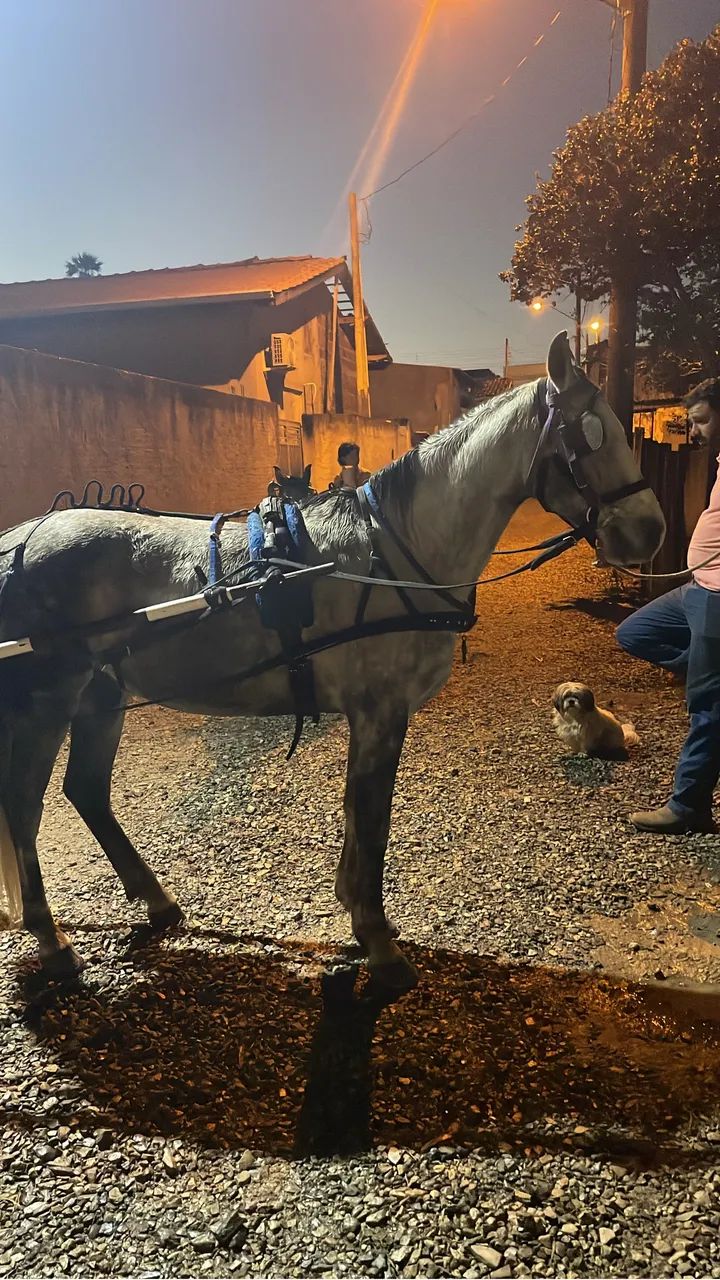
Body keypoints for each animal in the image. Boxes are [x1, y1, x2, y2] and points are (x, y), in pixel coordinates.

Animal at [0, 334, 665, 990]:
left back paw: (156, 902)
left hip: (101, 695)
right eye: (589, 433)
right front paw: (376, 937)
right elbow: (371, 817)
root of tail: (19, 539)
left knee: (86, 791)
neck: (394, 549)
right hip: (44, 701)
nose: (650, 532)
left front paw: (361, 917)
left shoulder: (373, 715)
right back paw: (51, 939)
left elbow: (358, 815)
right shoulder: (380, 710)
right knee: (23, 807)